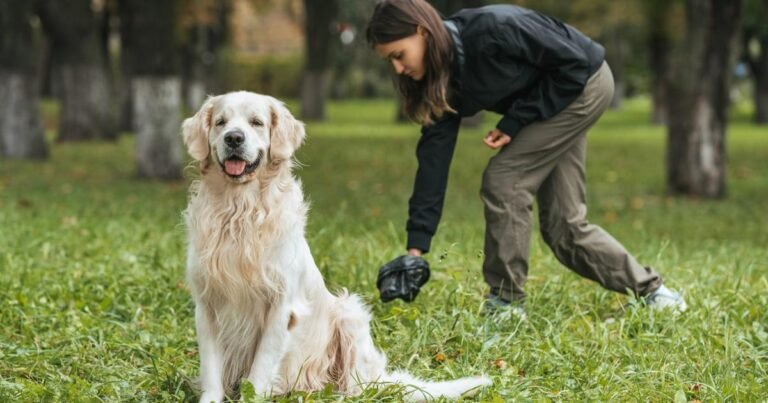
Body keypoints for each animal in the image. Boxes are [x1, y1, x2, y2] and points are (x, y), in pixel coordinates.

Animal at [181, 92, 492, 403]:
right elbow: (212, 370)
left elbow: (259, 370)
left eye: (256, 122)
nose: (233, 138)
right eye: (221, 122)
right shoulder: (206, 304)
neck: (239, 211)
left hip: (349, 315)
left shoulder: (281, 307)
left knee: (358, 387)